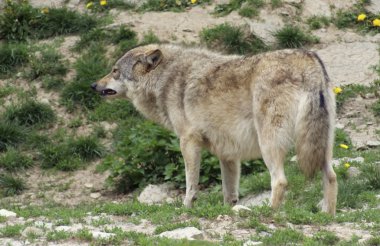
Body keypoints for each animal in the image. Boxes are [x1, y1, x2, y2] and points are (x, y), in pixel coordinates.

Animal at [92, 44, 338, 215]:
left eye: (114, 71)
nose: (93, 85)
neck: (166, 78)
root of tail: (309, 59)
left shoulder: (188, 141)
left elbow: (191, 184)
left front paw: (186, 207)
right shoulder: (228, 154)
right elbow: (229, 193)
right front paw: (229, 210)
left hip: (269, 144)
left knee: (280, 181)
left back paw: (268, 212)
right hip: (322, 147)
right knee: (331, 177)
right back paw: (326, 215)